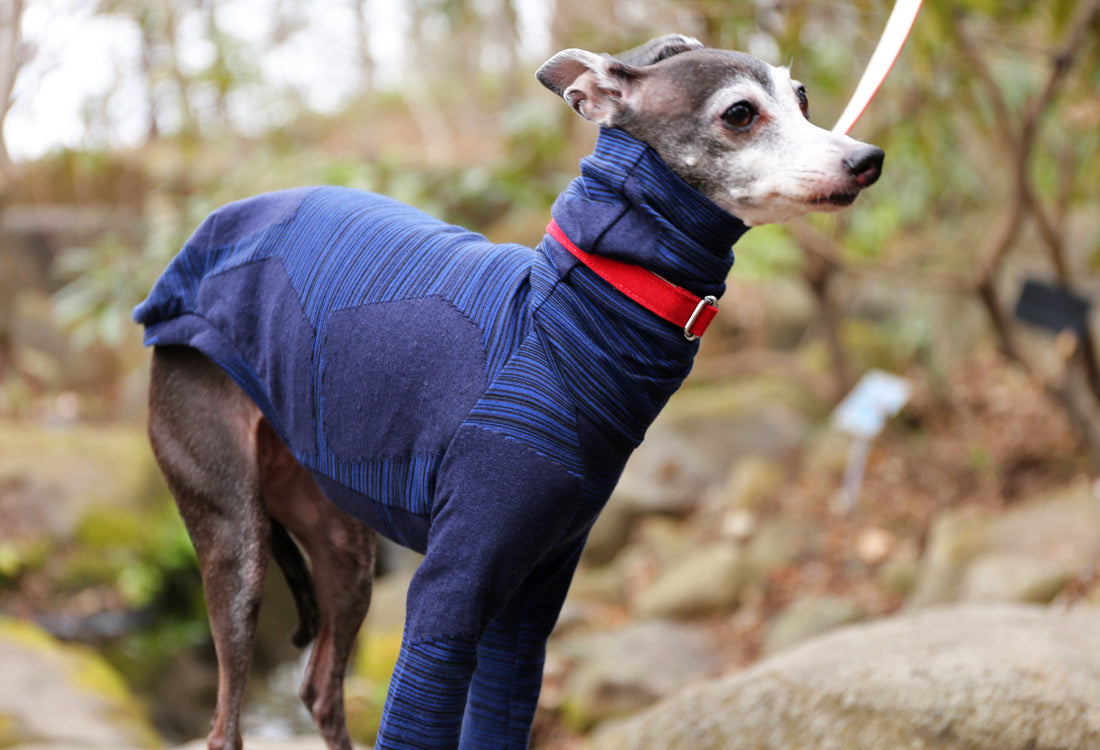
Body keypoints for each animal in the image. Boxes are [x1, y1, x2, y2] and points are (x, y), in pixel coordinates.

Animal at [133, 32, 884, 743]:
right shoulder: (448, 596)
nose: (866, 158)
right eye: (739, 113)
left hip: (342, 543)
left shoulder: (533, 600)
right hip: (236, 538)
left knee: (319, 689)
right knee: (225, 723)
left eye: (802, 97)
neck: (558, 320)